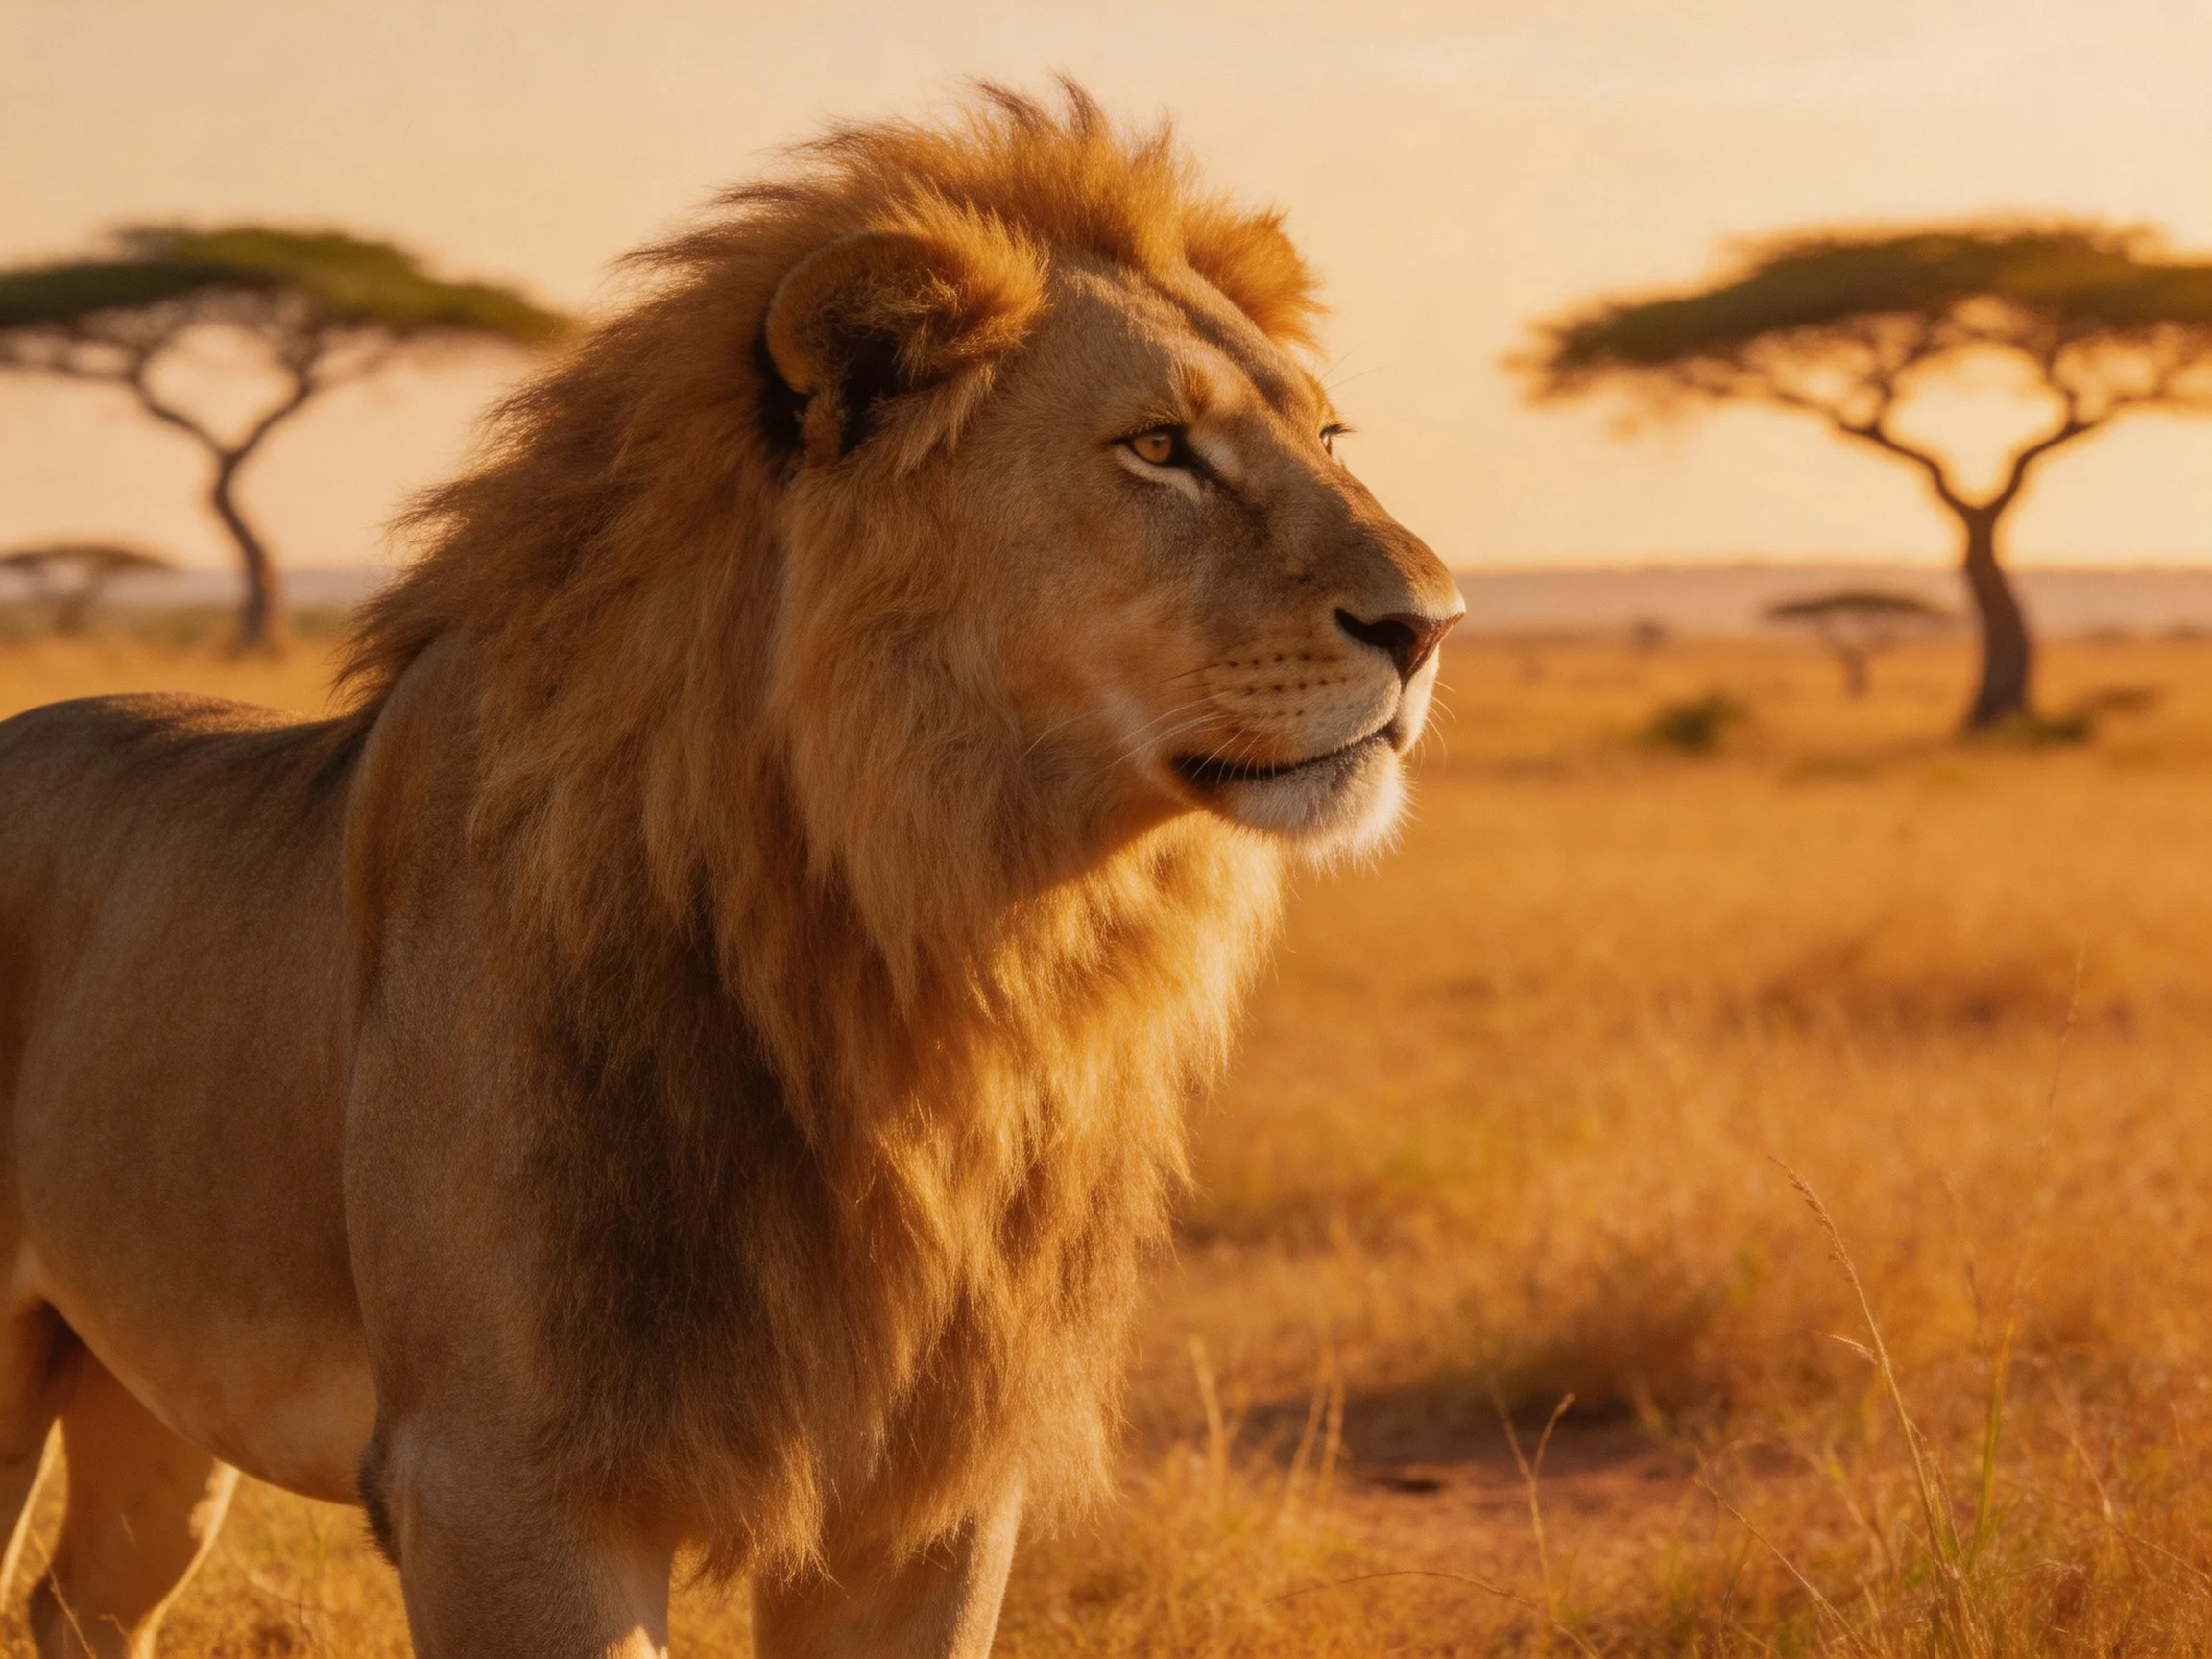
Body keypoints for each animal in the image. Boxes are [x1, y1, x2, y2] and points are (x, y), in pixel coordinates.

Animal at [0, 86, 1459, 1658]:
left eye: (1329, 432)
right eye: (1157, 447)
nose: (1432, 623)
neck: (936, 955)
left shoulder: (932, 1492)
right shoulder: (500, 1483)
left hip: (156, 1393)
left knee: (81, 1606)